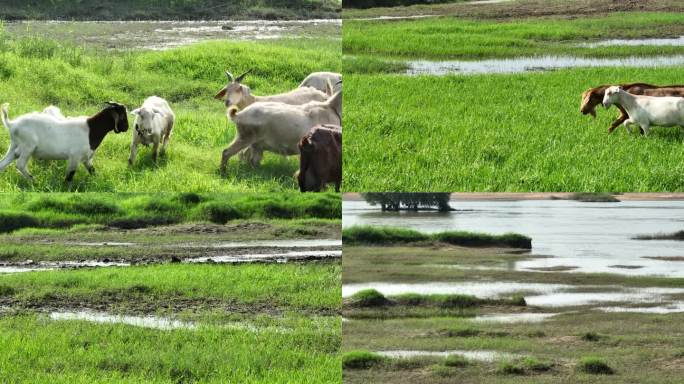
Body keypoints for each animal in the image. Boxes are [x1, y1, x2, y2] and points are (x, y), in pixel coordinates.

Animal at [0, 101, 129, 184]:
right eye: (123, 115)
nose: (126, 128)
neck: (91, 130)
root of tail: (12, 124)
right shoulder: (75, 157)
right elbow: (69, 177)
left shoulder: (86, 159)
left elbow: (92, 171)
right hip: (28, 146)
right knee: (20, 164)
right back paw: (34, 181)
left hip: (14, 147)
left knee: (3, 163)